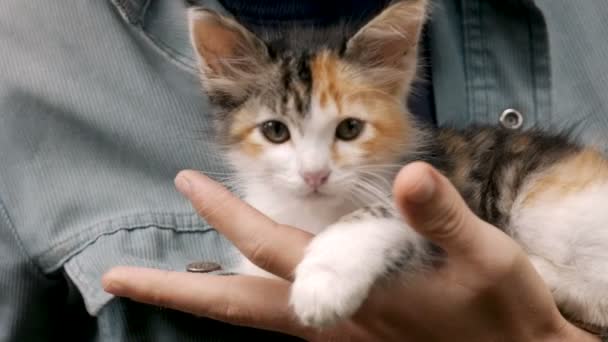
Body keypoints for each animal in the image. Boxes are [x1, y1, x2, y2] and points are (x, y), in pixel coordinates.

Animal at [186, 0, 608, 330]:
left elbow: (374, 215)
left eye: (350, 128)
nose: (314, 175)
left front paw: (323, 282)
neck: (311, 213)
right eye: (275, 131)